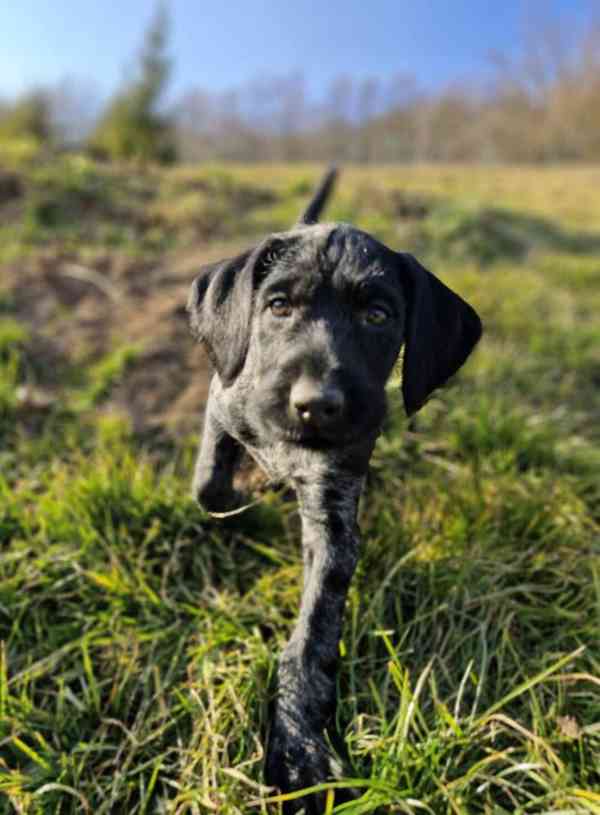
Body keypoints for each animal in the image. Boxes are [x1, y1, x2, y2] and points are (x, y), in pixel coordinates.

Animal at [185, 169, 480, 812]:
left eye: (378, 315)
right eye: (278, 306)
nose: (316, 404)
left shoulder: (335, 514)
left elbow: (312, 634)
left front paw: (298, 745)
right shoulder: (222, 405)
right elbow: (210, 485)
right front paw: (249, 502)